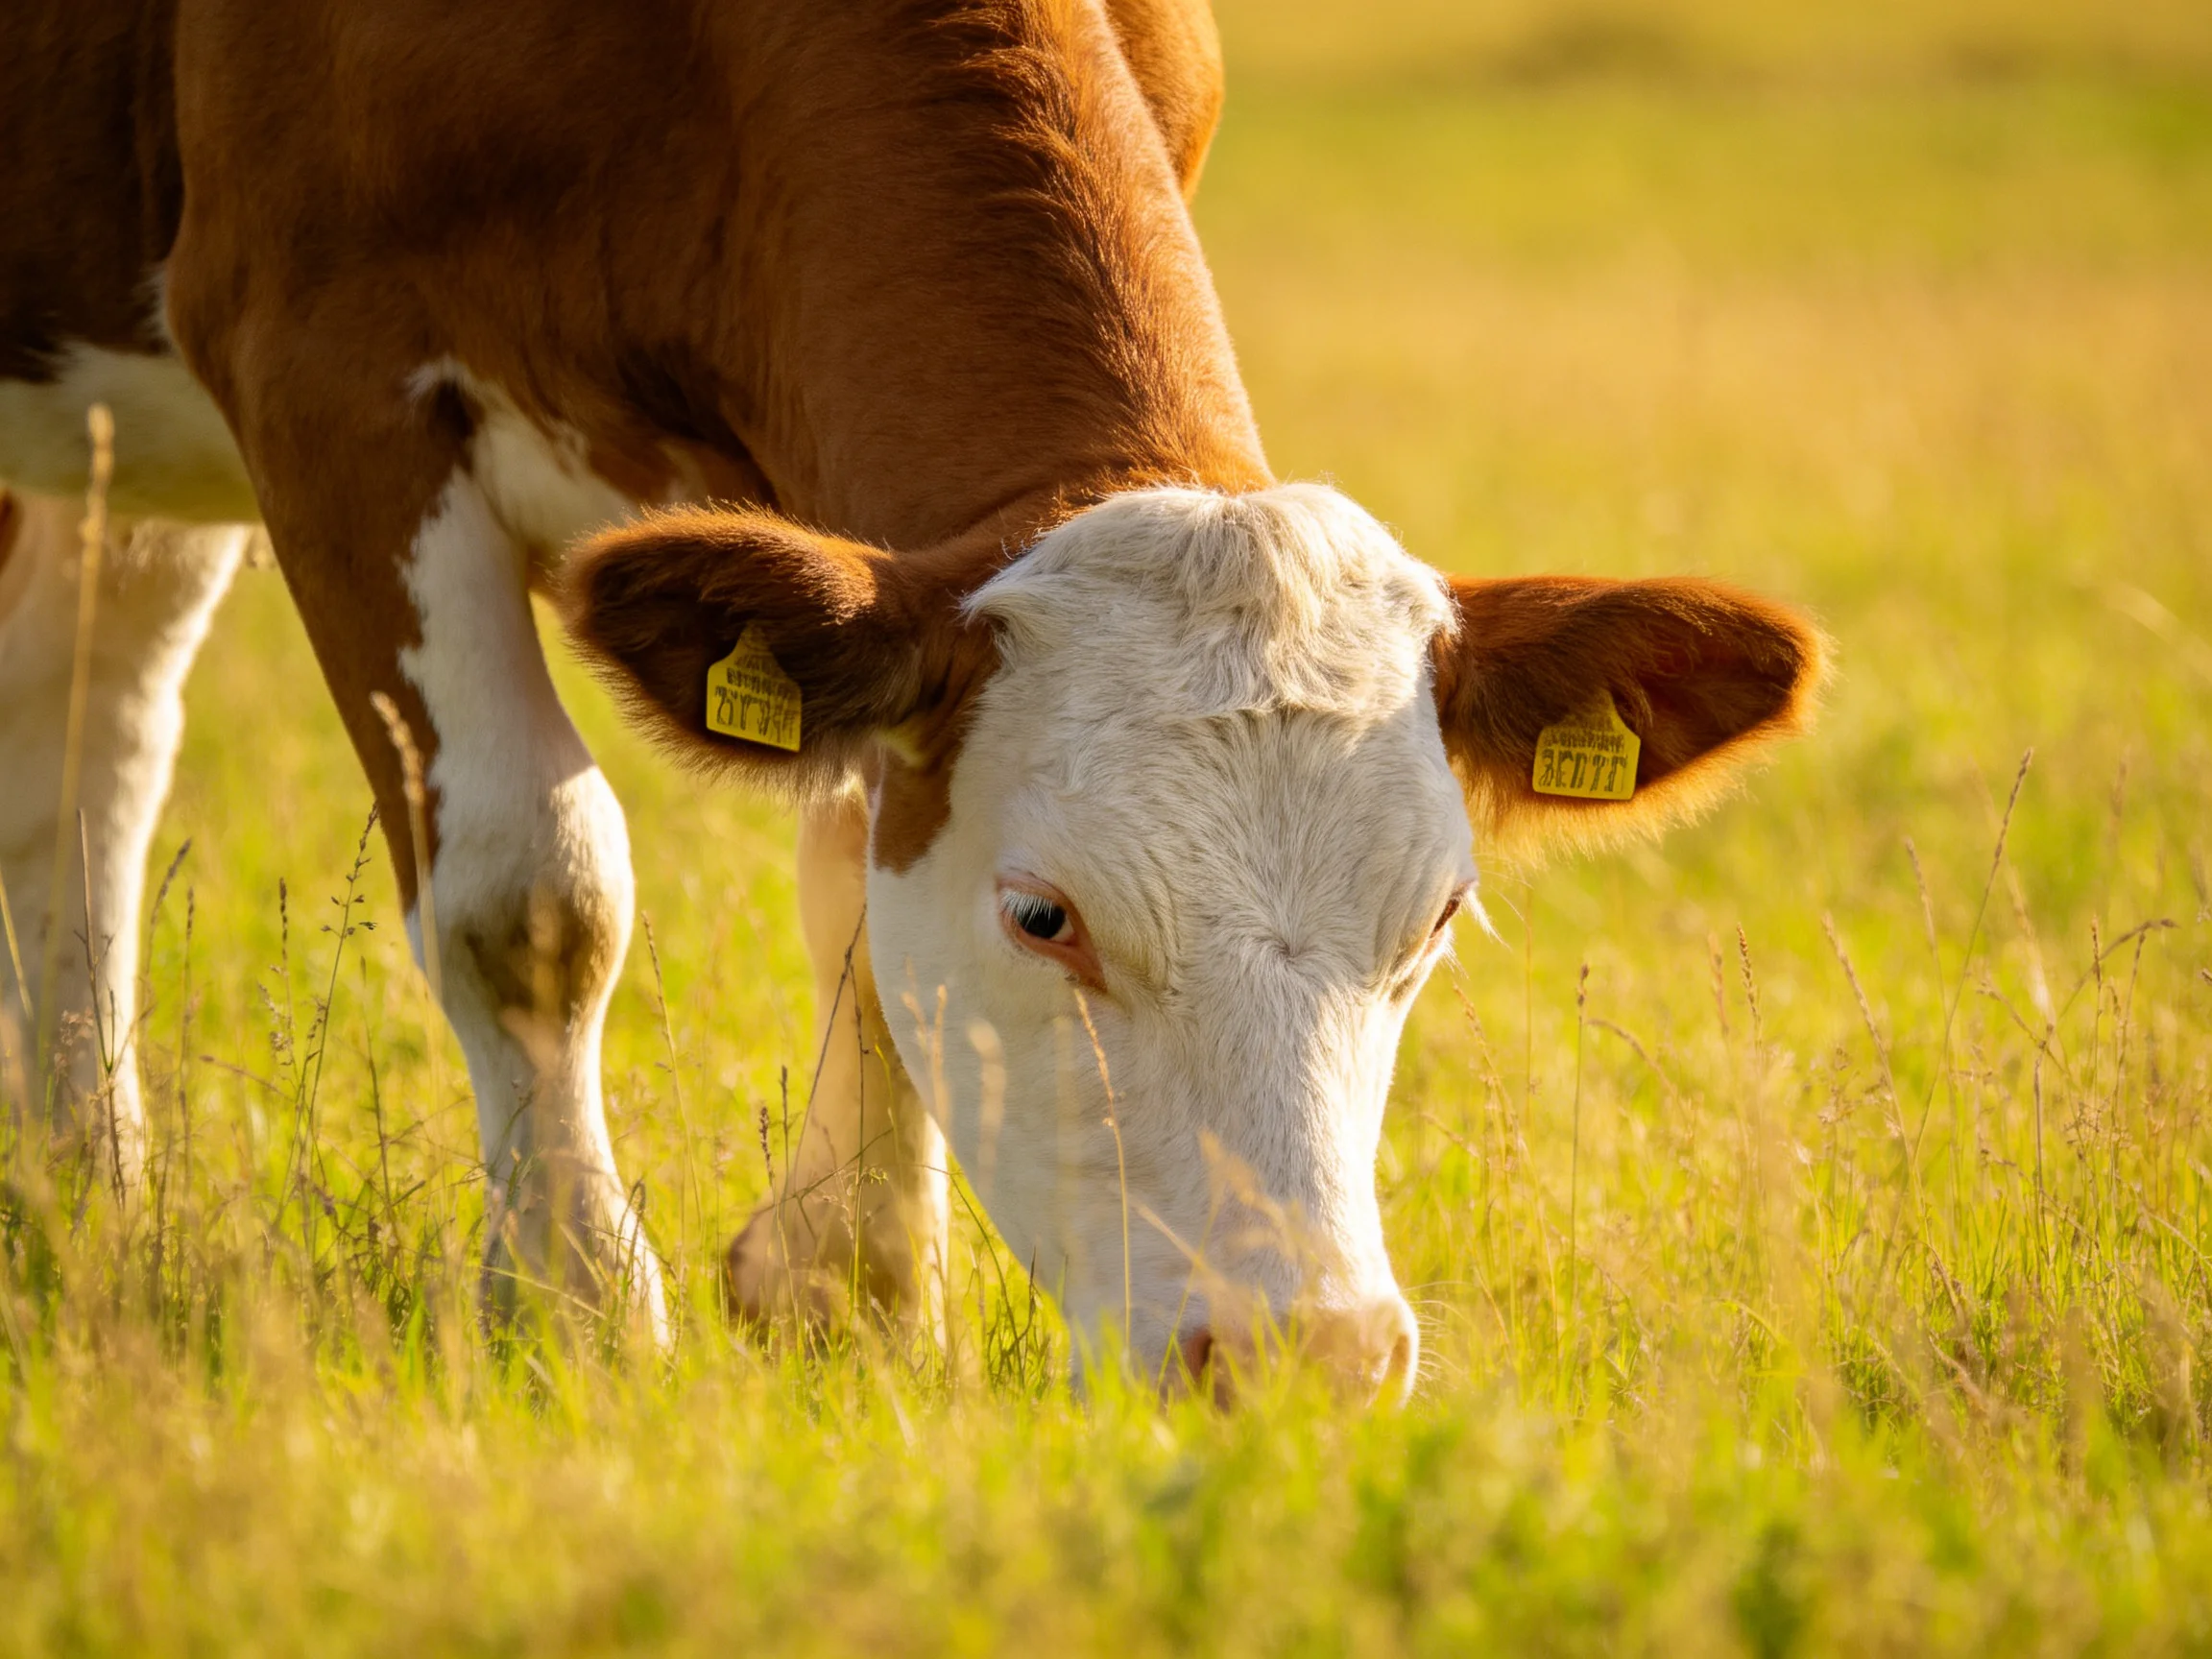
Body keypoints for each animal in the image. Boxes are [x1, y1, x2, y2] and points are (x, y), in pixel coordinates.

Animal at [0, 0, 1820, 1401]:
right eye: (1041, 916)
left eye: (1434, 919)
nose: (1306, 1353)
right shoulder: (320, 362)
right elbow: (534, 892)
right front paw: (582, 1309)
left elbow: (859, 888)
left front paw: (851, 1295)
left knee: (86, 741)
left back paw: (88, 1199)